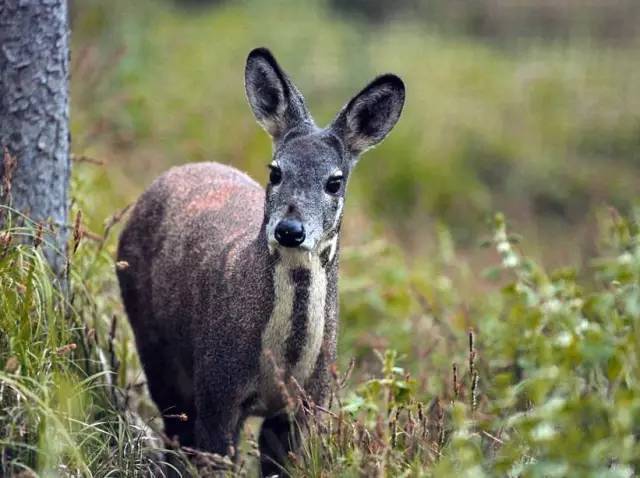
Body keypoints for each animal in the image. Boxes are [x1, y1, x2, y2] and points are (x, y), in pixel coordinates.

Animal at [116, 47, 404, 474]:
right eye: (276, 171)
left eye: (334, 181)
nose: (289, 229)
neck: (281, 365)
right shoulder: (217, 387)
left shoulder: (307, 403)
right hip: (153, 343)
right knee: (174, 429)